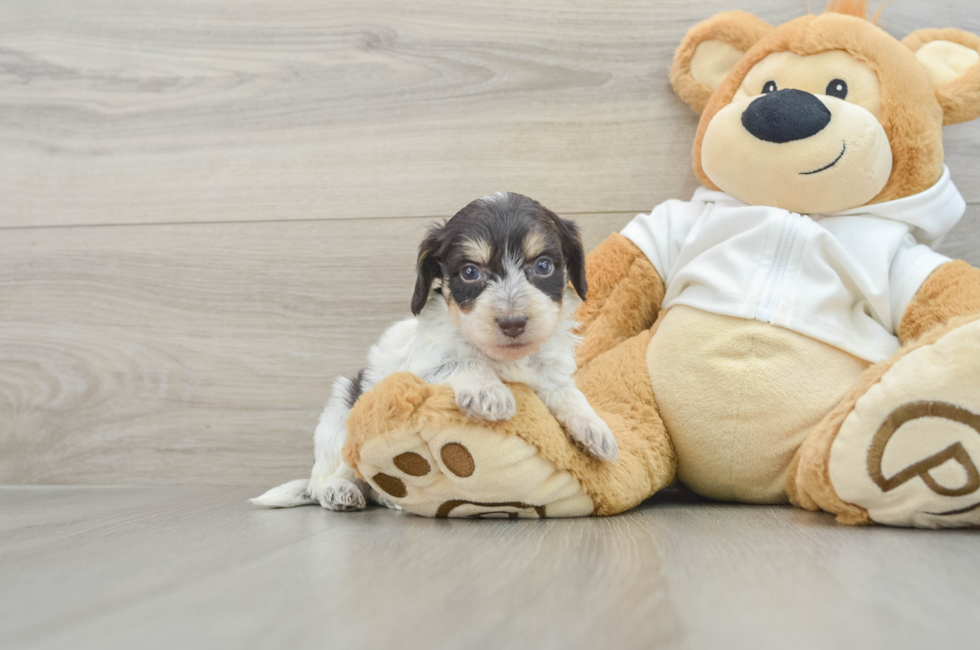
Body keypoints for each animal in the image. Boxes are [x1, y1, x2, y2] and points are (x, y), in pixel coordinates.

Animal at [255, 192, 620, 512]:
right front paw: (489, 392)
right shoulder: (423, 368)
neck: (503, 358)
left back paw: (389, 500)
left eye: (543, 266)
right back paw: (341, 492)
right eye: (470, 272)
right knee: (331, 479)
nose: (513, 322)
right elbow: (464, 361)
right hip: (340, 419)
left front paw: (595, 428)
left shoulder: (549, 373)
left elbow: (566, 393)